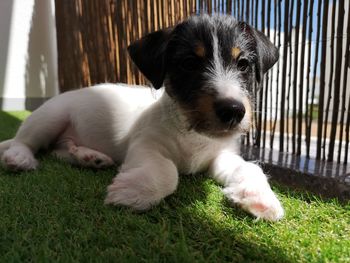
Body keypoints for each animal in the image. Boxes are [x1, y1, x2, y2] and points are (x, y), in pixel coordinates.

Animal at [0, 15, 284, 222]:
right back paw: (19, 158)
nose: (233, 110)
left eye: (243, 64)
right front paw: (133, 192)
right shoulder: (145, 145)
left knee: (59, 149)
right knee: (25, 141)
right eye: (189, 63)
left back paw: (88, 157)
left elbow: (249, 167)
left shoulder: (220, 155)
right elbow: (168, 172)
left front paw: (259, 197)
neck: (192, 134)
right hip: (49, 117)